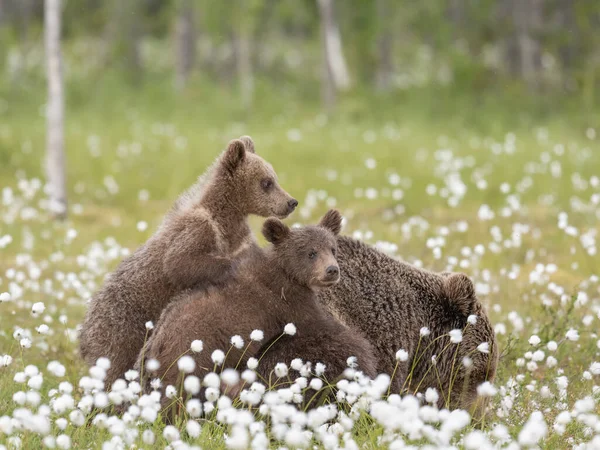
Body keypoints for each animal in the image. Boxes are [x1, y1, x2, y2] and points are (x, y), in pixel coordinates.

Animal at [77, 135, 298, 388]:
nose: (291, 202)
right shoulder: (196, 230)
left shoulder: (240, 236)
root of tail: (84, 331)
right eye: (266, 182)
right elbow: (181, 263)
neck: (225, 220)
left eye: (273, 178)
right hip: (120, 331)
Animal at [138, 211, 378, 408]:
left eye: (332, 248)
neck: (288, 274)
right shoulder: (287, 303)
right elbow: (323, 326)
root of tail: (155, 346)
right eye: (311, 253)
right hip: (192, 354)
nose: (332, 270)